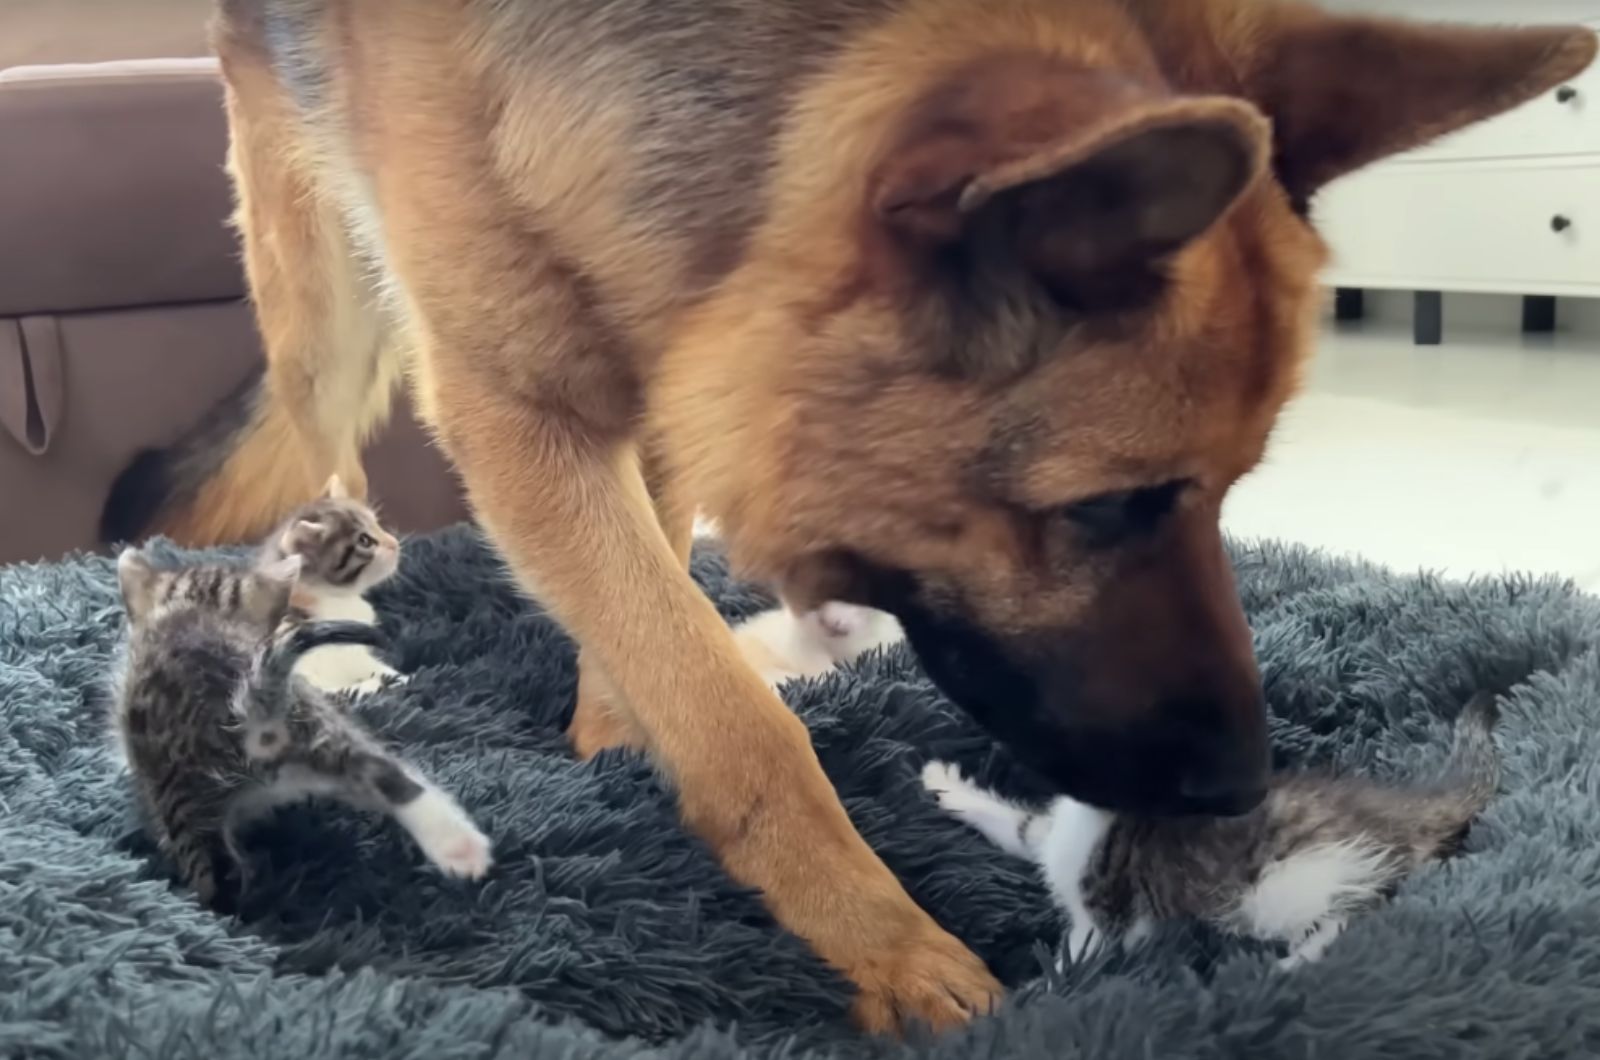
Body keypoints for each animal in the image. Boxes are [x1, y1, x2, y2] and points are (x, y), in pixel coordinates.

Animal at [112, 547, 489, 915]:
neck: (199, 610)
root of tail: (255, 715)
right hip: (318, 729)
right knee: (383, 772)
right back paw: (462, 848)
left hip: (183, 803)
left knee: (219, 882)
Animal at [928, 694, 1497, 973]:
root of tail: (1399, 807)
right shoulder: (1055, 836)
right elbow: (1022, 827)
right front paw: (946, 787)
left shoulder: (1107, 916)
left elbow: (1072, 963)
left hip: (1291, 880)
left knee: (1362, 903)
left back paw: (1297, 962)